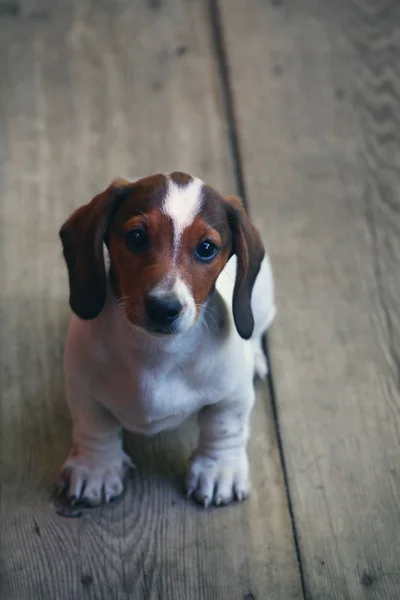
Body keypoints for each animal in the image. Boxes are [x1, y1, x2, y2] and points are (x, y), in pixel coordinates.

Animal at [58, 172, 276, 506]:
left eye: (206, 248)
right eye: (136, 237)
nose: (164, 308)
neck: (156, 352)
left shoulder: (232, 394)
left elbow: (224, 428)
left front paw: (218, 471)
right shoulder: (83, 391)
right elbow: (94, 428)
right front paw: (96, 468)